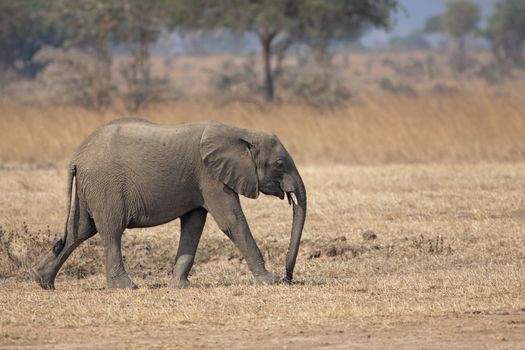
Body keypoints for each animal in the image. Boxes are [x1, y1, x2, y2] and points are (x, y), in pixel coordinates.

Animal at [29, 119, 308, 288]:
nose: (289, 278)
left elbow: (193, 226)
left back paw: (42, 281)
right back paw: (126, 287)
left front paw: (180, 286)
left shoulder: (200, 182)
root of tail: (76, 157)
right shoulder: (210, 177)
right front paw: (270, 281)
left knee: (79, 230)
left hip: (91, 187)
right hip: (105, 184)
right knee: (110, 231)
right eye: (279, 164)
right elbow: (232, 222)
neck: (242, 133)